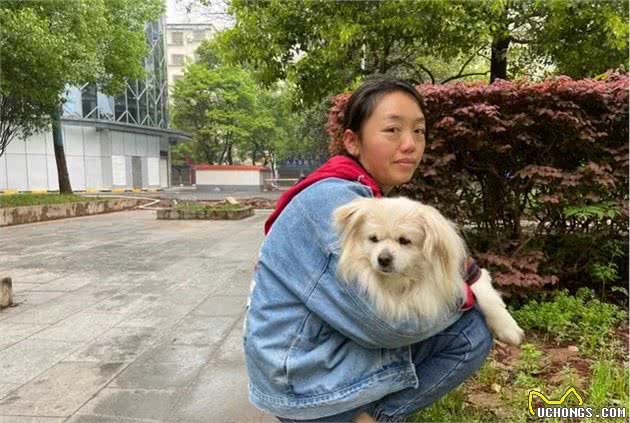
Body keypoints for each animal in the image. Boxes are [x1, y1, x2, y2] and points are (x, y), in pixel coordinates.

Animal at [334, 197, 524, 346]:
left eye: (405, 241)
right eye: (373, 239)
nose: (383, 258)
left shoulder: (470, 271)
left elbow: (488, 298)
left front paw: (508, 328)